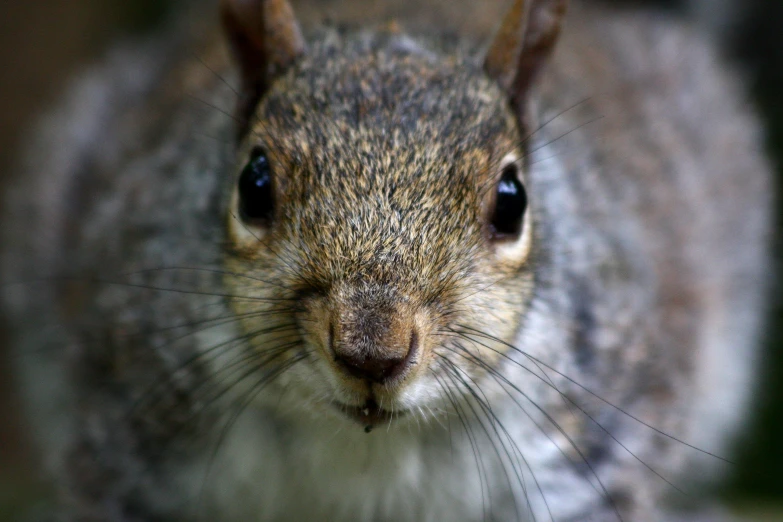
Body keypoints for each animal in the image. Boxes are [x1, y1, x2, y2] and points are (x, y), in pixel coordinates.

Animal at [0, 0, 772, 516]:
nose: (372, 351)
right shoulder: (126, 434)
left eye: (512, 200)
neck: (362, 447)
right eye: (254, 184)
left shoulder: (587, 451)